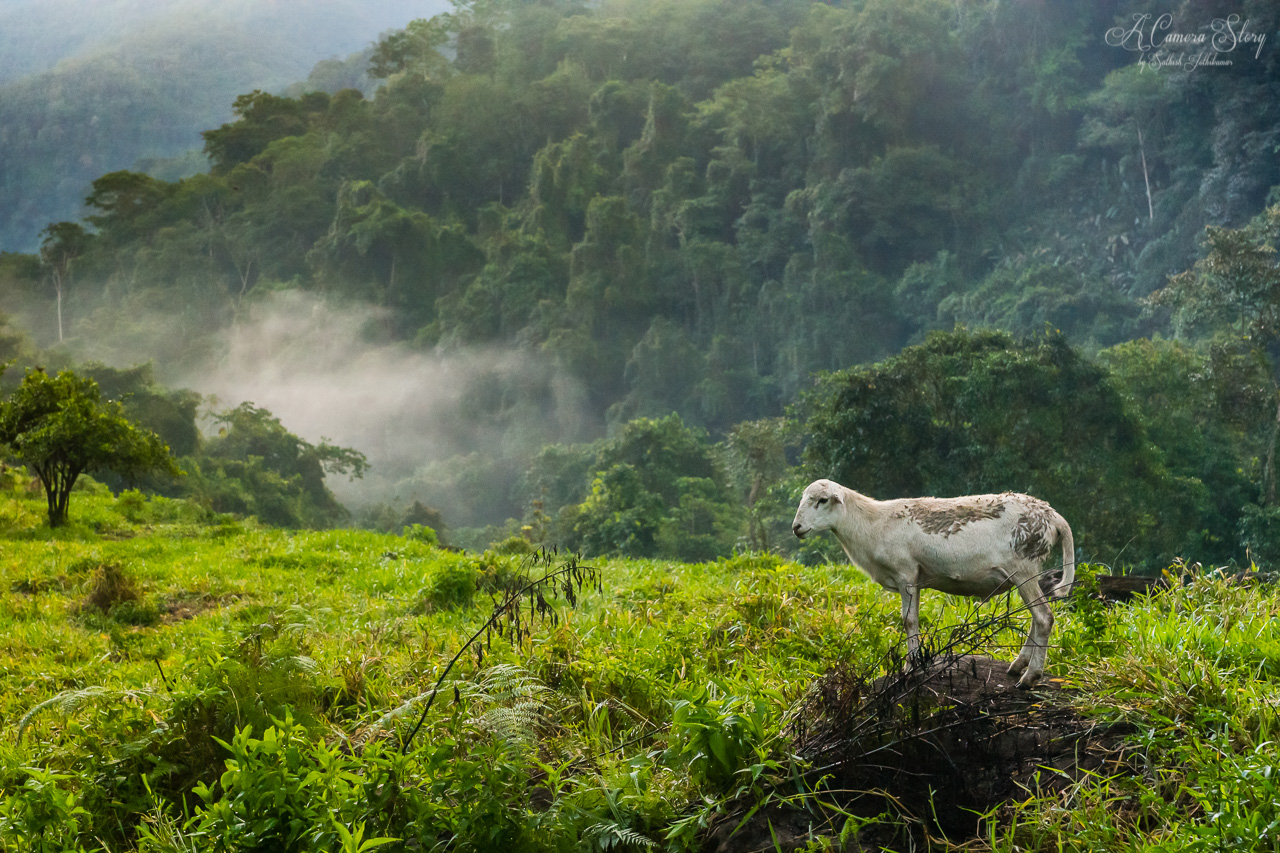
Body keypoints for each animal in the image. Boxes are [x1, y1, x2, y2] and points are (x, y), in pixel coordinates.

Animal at [793, 473, 1075, 686]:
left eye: (822, 500)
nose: (796, 528)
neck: (871, 523)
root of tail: (1053, 515)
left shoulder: (905, 573)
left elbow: (908, 620)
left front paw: (910, 666)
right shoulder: (916, 578)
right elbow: (914, 618)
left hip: (1023, 567)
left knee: (1043, 617)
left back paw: (1030, 676)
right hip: (1028, 573)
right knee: (1037, 618)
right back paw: (1018, 665)